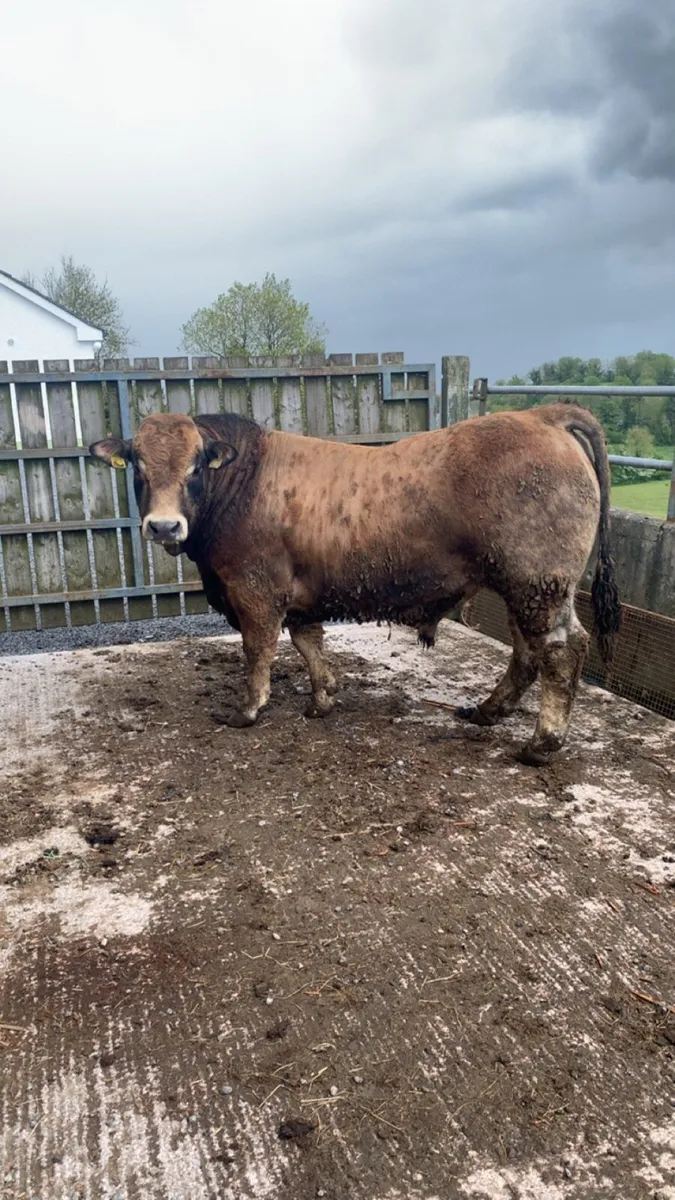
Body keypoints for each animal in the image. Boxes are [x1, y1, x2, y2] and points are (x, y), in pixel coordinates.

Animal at [90, 404, 620, 765]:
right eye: (138, 465)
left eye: (196, 464)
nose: (163, 526)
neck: (245, 481)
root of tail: (541, 416)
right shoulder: (299, 595)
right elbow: (308, 642)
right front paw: (323, 697)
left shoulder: (254, 591)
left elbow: (258, 652)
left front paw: (248, 710)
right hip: (525, 586)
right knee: (526, 651)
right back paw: (488, 711)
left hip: (538, 583)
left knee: (561, 650)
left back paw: (541, 743)